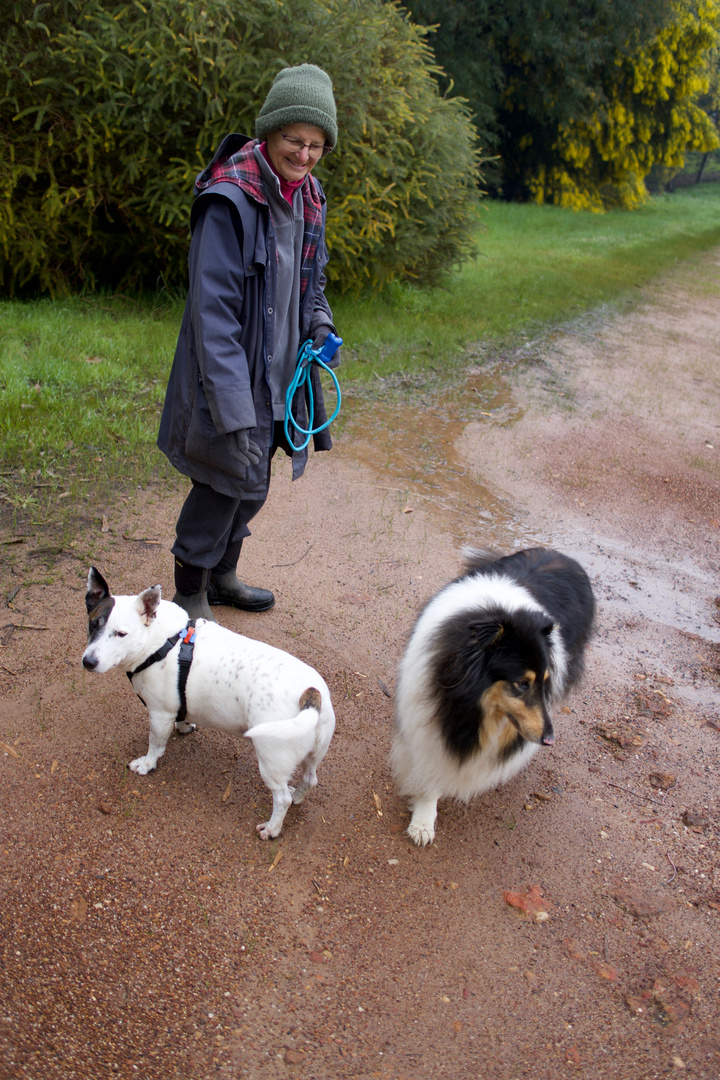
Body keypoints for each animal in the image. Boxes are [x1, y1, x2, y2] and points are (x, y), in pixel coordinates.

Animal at [83, 570, 336, 838]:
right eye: (92, 624)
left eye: (121, 634)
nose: (88, 662)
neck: (160, 640)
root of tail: (311, 692)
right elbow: (182, 716)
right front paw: (184, 727)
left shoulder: (159, 715)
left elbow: (155, 745)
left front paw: (147, 764)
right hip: (313, 754)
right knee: (309, 779)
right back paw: (298, 796)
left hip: (271, 761)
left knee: (282, 798)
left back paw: (272, 828)